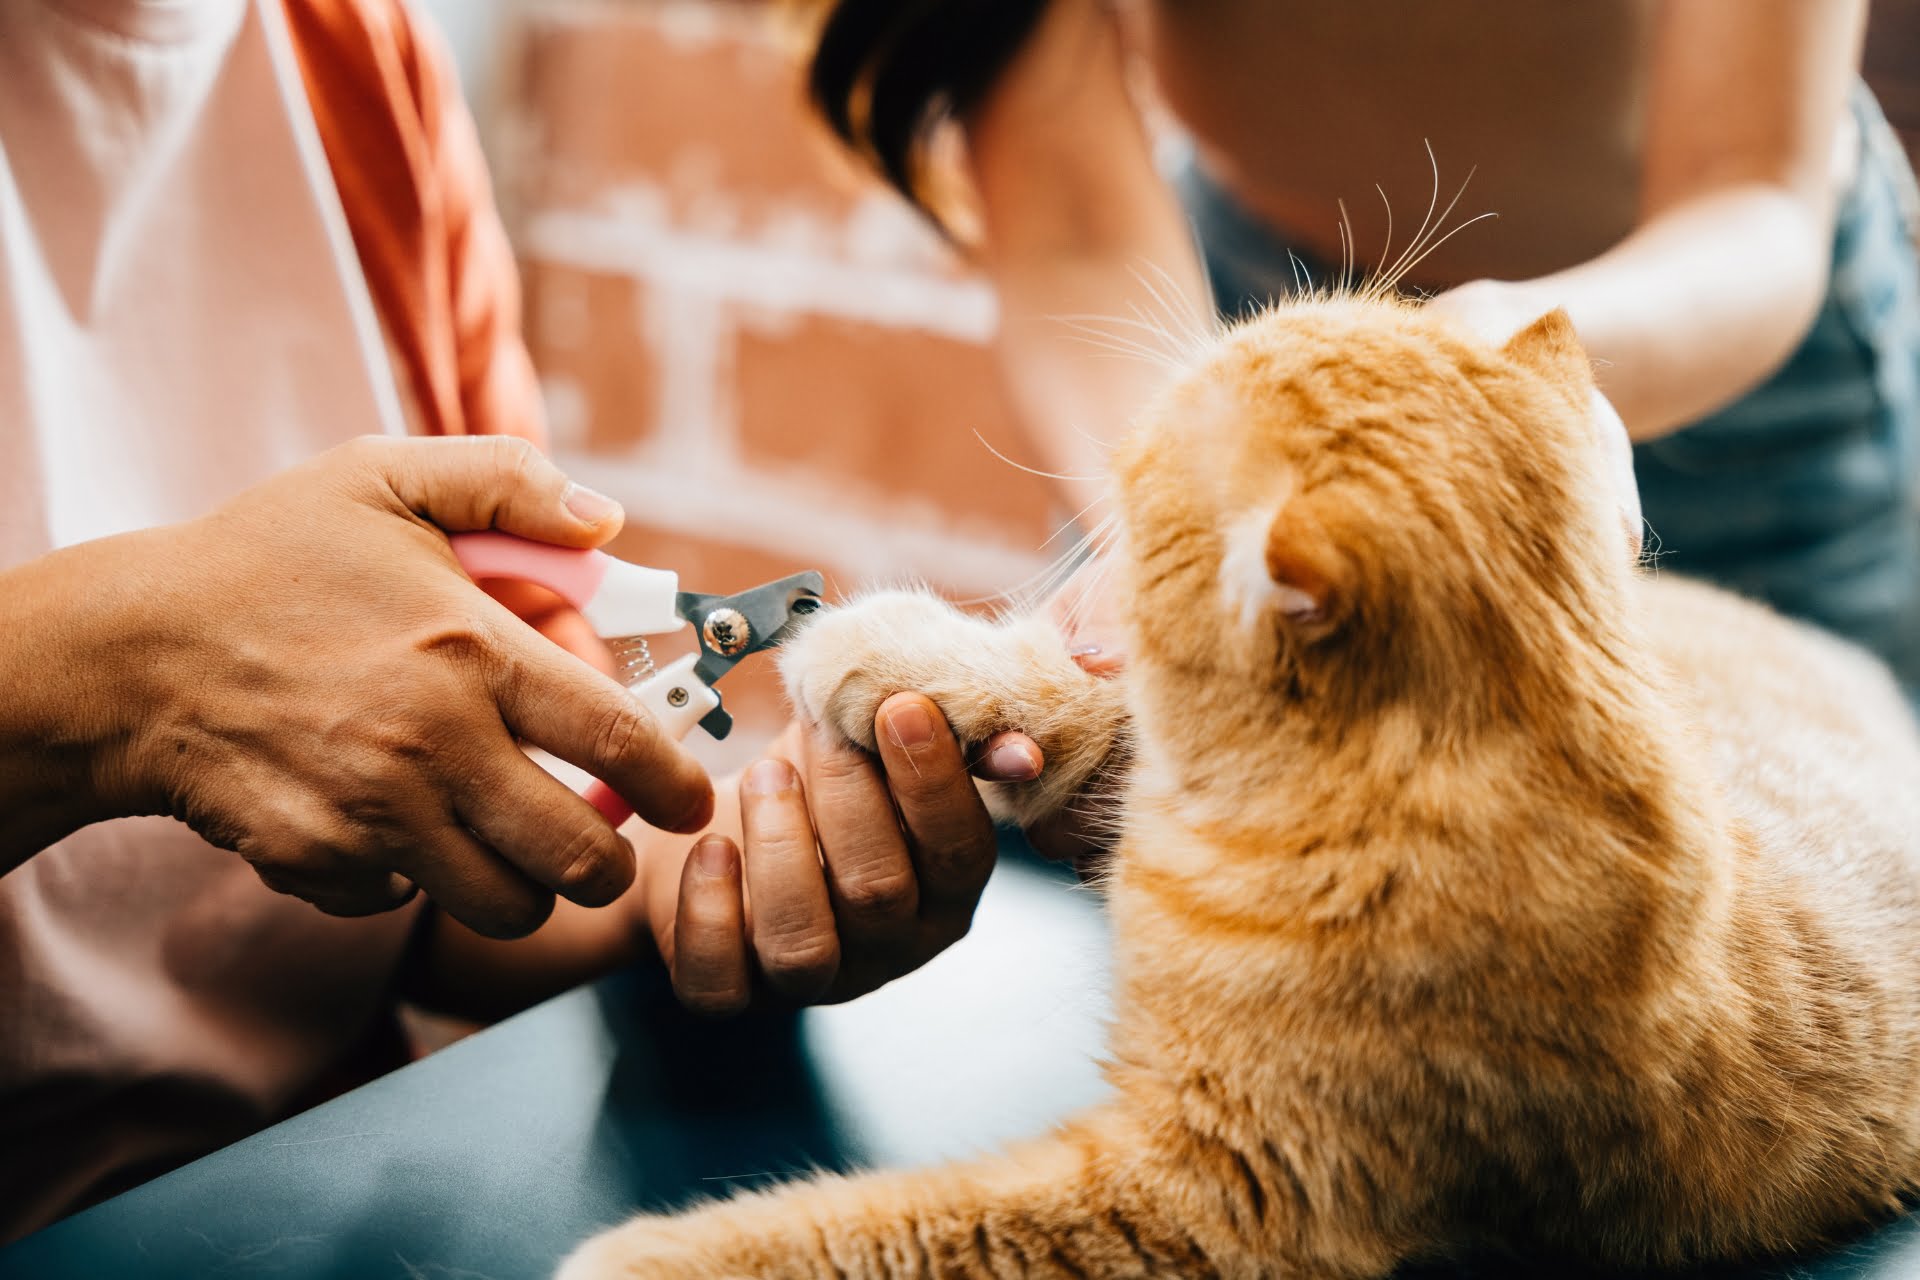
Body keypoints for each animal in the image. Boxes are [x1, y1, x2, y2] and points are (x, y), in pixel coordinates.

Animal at [556, 295, 1920, 1274]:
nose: (1182, 358)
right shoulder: (1143, 736)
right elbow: (1091, 694)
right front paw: (918, 657)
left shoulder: (1216, 1194)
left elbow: (878, 1230)